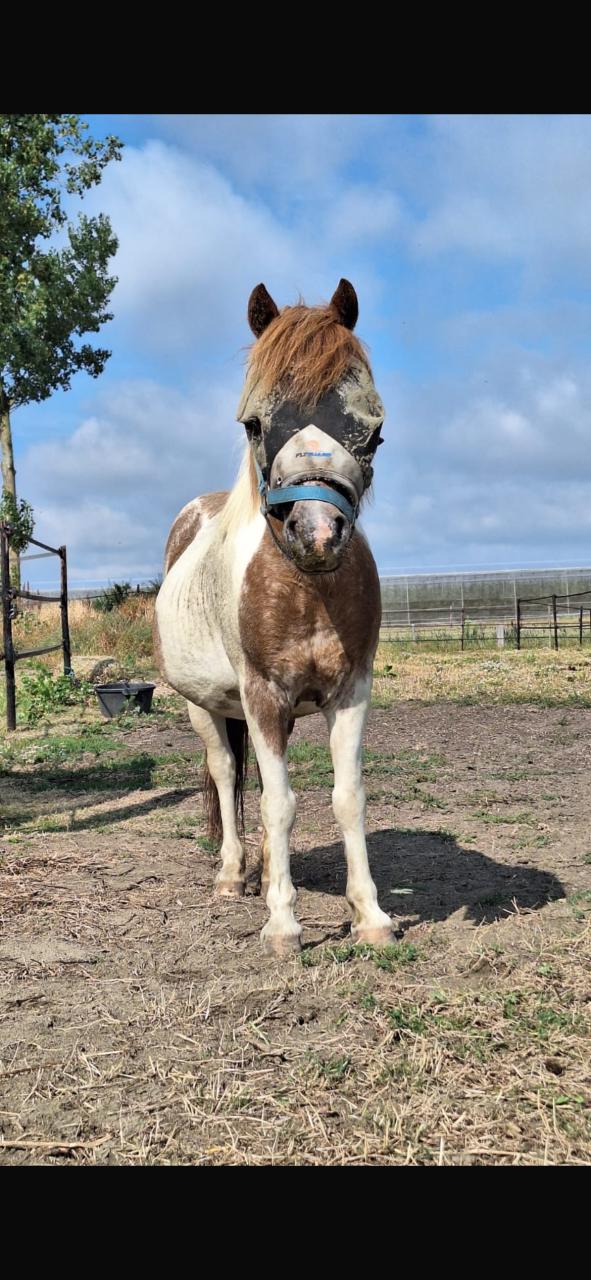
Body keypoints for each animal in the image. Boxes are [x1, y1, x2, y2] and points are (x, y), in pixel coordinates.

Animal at [154, 279, 394, 957]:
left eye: (373, 431)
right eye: (254, 423)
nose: (316, 534)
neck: (304, 592)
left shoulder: (350, 692)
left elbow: (345, 797)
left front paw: (369, 916)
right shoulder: (261, 697)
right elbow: (279, 804)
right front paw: (283, 924)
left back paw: (262, 872)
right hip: (207, 708)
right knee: (227, 776)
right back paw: (235, 875)